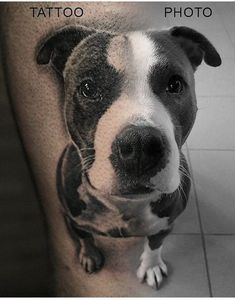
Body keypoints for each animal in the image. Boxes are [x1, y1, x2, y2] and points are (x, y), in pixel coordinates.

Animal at [36, 25, 220, 288]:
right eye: (88, 88)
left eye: (175, 84)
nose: (140, 144)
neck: (124, 205)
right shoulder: (74, 219)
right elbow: (85, 238)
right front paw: (89, 255)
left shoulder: (165, 225)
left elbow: (155, 245)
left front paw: (150, 266)